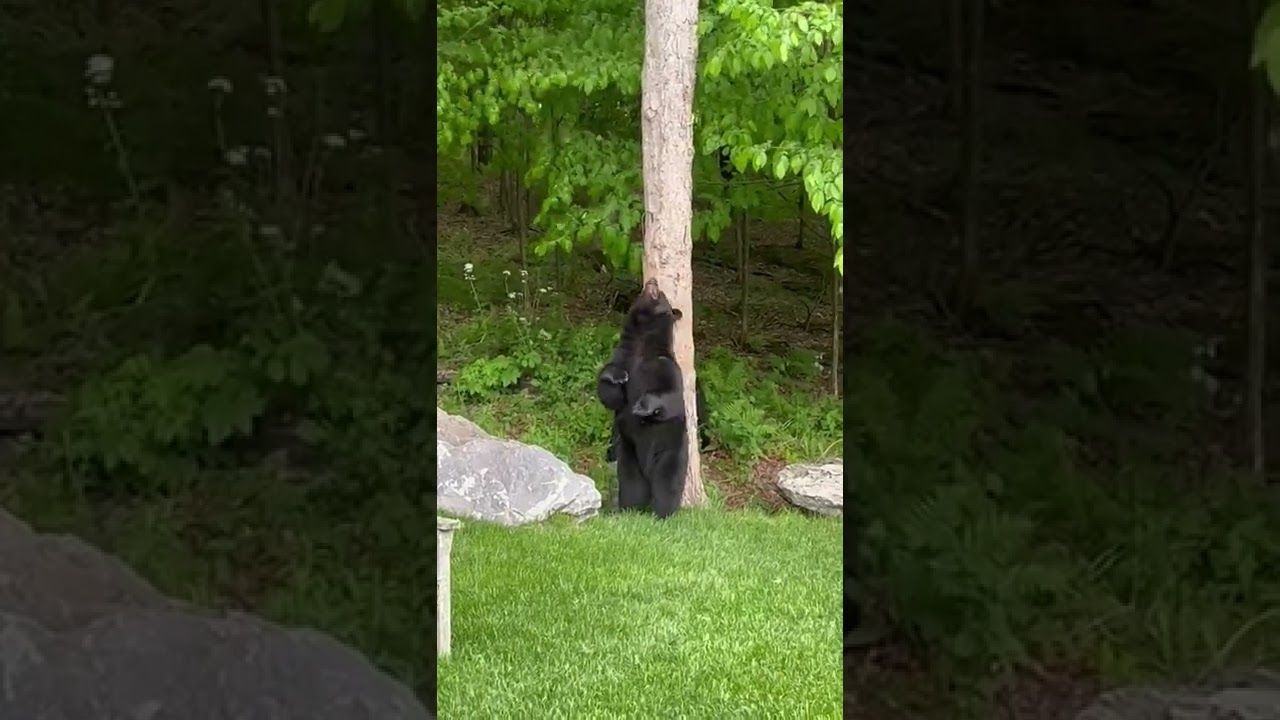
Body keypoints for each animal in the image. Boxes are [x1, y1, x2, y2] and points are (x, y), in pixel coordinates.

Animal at [596, 279, 691, 519]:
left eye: (662, 294)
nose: (653, 280)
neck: (641, 346)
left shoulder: (665, 366)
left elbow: (672, 396)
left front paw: (641, 406)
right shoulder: (623, 357)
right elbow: (611, 397)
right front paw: (615, 376)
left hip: (670, 453)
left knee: (667, 486)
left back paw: (662, 515)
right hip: (629, 455)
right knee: (632, 487)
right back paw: (628, 511)